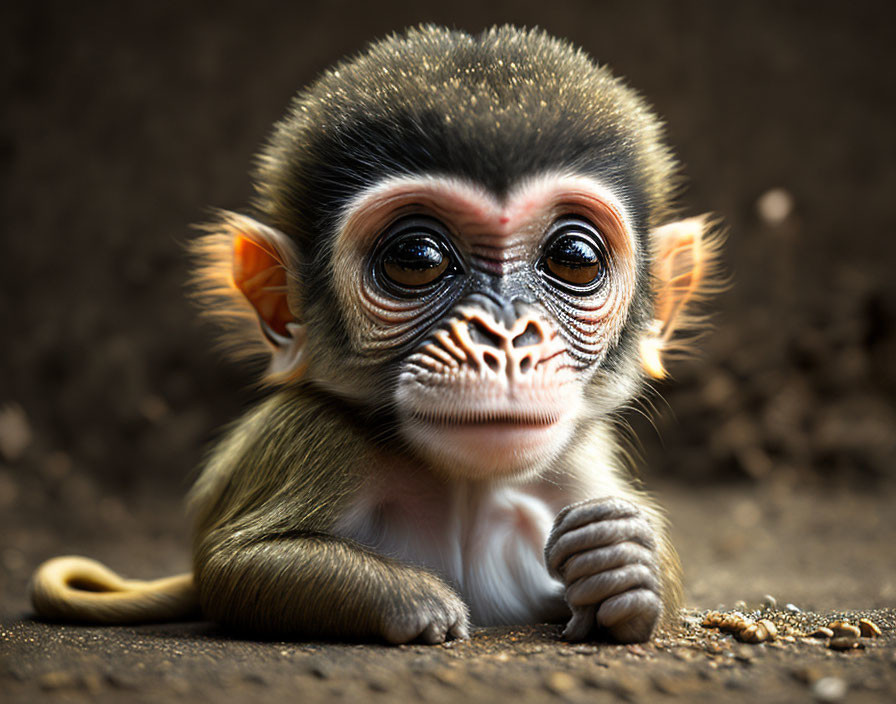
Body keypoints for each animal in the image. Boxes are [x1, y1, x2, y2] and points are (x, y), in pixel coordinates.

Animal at [31, 26, 724, 644]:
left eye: (573, 258)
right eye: (416, 258)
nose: (502, 337)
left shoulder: (581, 460)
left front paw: (624, 564)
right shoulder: (313, 436)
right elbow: (236, 567)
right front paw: (413, 600)